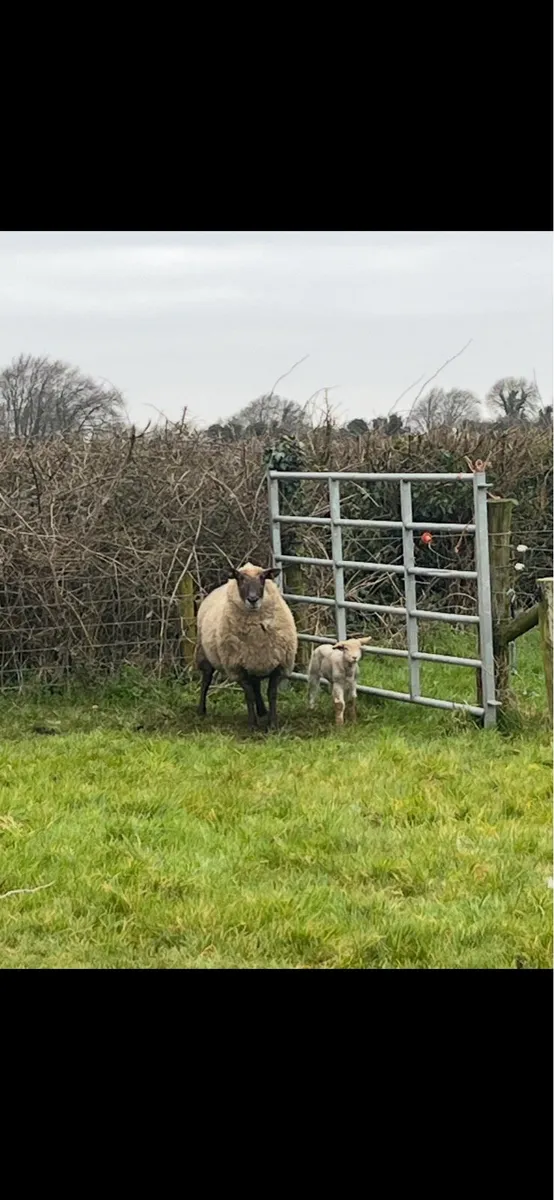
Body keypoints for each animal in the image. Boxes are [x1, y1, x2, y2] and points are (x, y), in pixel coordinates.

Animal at [195, 562, 298, 731]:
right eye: (240, 578)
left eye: (263, 578)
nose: (253, 599)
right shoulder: (237, 668)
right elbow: (249, 695)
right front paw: (253, 725)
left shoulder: (278, 665)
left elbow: (271, 693)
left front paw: (272, 724)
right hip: (205, 655)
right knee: (206, 680)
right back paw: (201, 710)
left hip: (253, 662)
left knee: (256, 685)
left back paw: (262, 711)